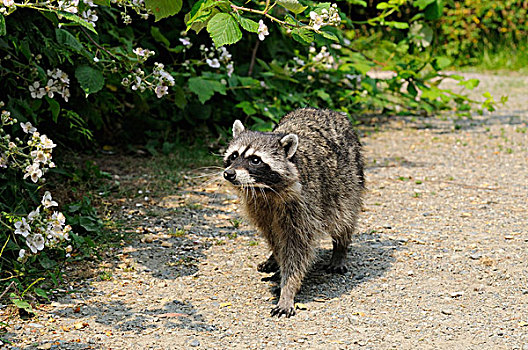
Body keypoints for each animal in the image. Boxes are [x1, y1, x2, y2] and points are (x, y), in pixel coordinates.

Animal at [222, 108, 364, 318]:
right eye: (233, 156)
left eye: (255, 160)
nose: (229, 173)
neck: (264, 190)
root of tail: (326, 110)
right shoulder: (258, 206)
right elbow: (274, 238)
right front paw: (278, 263)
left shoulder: (304, 206)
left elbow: (297, 249)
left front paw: (288, 288)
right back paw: (273, 258)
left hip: (347, 181)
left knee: (344, 217)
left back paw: (340, 248)